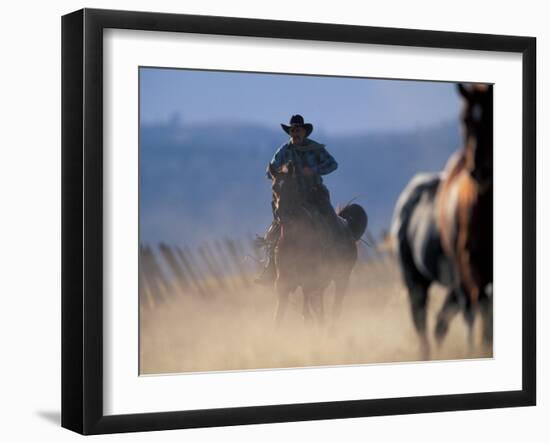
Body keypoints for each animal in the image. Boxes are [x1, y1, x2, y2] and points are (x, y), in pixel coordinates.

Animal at [268, 163, 368, 326]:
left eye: (293, 187)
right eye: (274, 187)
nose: (283, 213)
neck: (296, 240)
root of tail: (347, 227)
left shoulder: (311, 279)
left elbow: (308, 310)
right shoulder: (283, 281)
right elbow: (279, 314)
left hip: (342, 277)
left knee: (335, 307)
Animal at [392, 84, 496, 360]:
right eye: (464, 119)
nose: (480, 170)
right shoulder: (469, 265)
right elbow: (478, 311)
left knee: (441, 323)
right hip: (417, 280)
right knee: (423, 323)